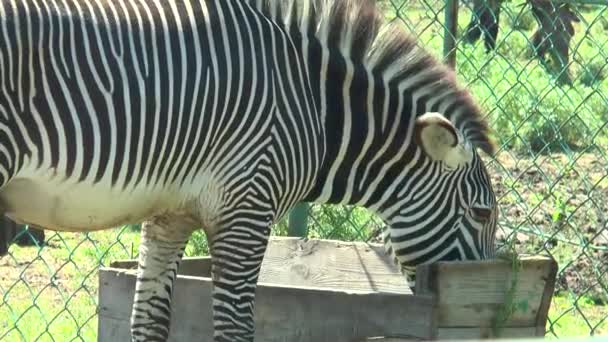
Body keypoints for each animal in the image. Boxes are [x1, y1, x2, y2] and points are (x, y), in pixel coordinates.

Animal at [0, 0, 496, 340]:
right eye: (482, 214)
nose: (488, 304)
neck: (312, 106)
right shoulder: (247, 208)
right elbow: (235, 327)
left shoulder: (170, 214)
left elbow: (150, 322)